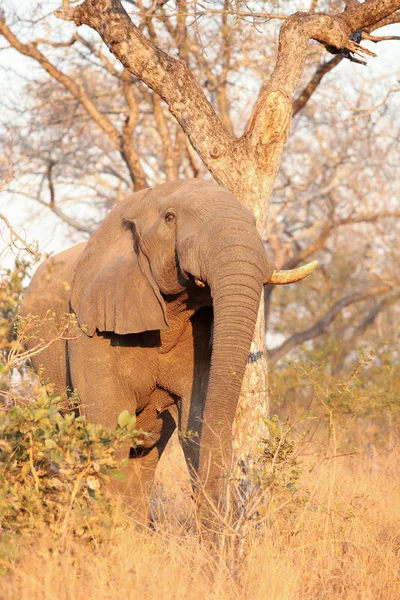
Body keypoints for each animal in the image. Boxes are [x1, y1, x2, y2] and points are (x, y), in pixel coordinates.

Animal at [21, 179, 316, 520]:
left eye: (254, 221)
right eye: (170, 218)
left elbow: (195, 419)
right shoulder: (88, 330)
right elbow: (106, 427)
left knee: (146, 453)